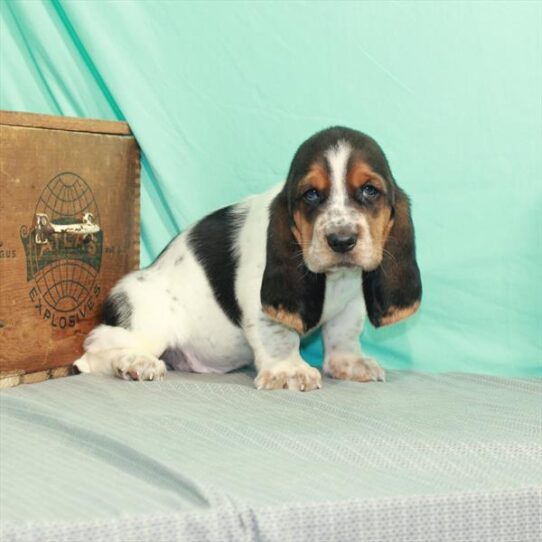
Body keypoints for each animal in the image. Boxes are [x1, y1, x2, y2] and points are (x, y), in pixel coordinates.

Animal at [74, 127, 422, 392]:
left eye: (370, 190)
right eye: (310, 194)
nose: (342, 240)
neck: (334, 279)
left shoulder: (351, 304)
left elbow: (344, 335)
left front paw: (350, 364)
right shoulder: (260, 300)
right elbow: (281, 336)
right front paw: (289, 371)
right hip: (147, 322)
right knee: (92, 354)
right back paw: (134, 363)